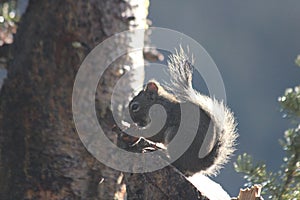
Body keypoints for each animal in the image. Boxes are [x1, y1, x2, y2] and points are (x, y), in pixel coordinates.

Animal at [127, 48, 238, 177]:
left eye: (135, 106)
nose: (131, 119)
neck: (158, 104)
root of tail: (198, 167)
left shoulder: (161, 118)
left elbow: (155, 134)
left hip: (175, 136)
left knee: (177, 163)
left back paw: (159, 152)